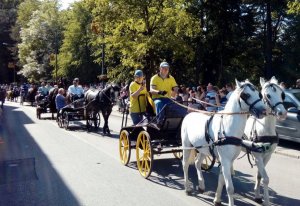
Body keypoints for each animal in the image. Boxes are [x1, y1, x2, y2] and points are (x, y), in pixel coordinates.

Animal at [244, 76, 286, 205]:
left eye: (282, 94)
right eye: (268, 95)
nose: (282, 113)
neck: (265, 129)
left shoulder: (267, 155)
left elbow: (259, 176)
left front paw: (257, 196)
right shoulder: (257, 155)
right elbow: (266, 178)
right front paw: (266, 201)